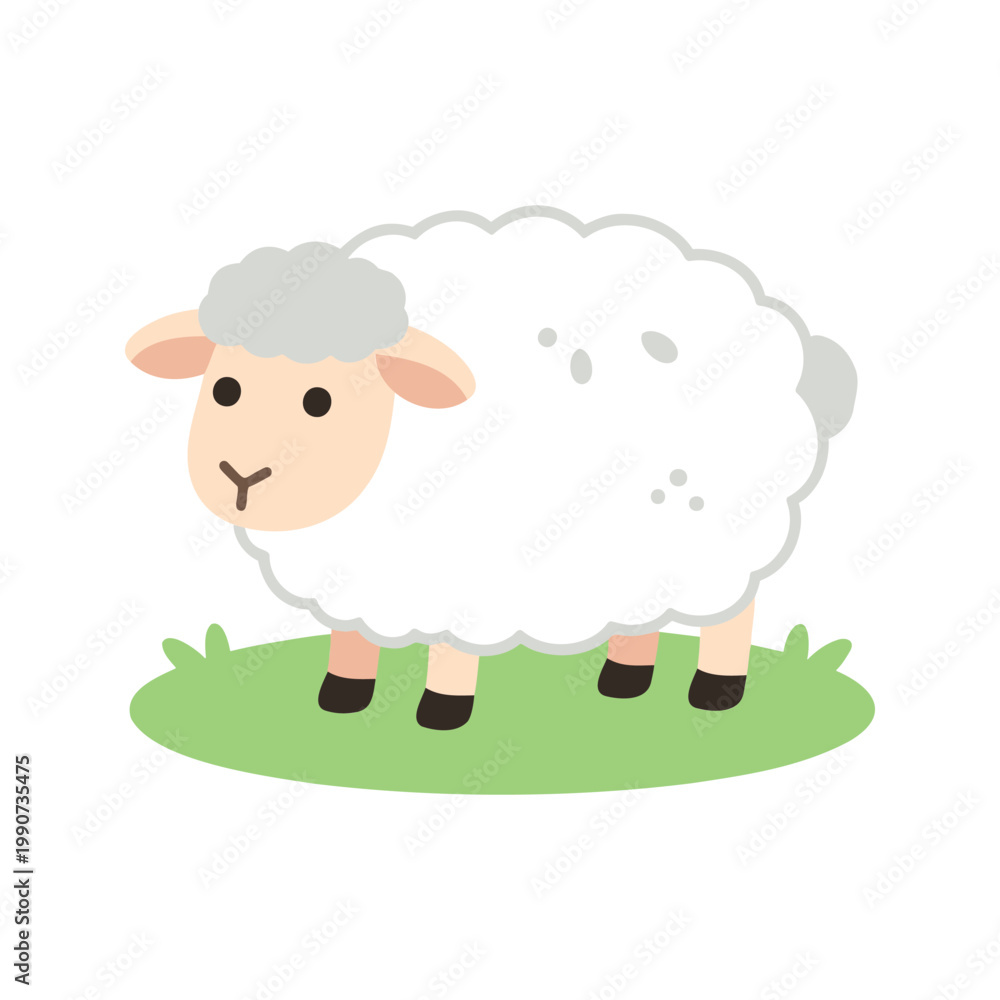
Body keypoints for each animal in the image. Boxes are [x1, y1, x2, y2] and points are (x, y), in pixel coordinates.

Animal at [126, 207, 856, 730]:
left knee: (733, 615)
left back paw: (715, 691)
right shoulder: (357, 577)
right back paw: (624, 680)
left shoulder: (465, 580)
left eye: (319, 400)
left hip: (729, 539)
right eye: (224, 389)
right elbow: (351, 641)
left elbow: (451, 655)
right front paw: (342, 695)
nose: (241, 478)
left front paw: (441, 713)